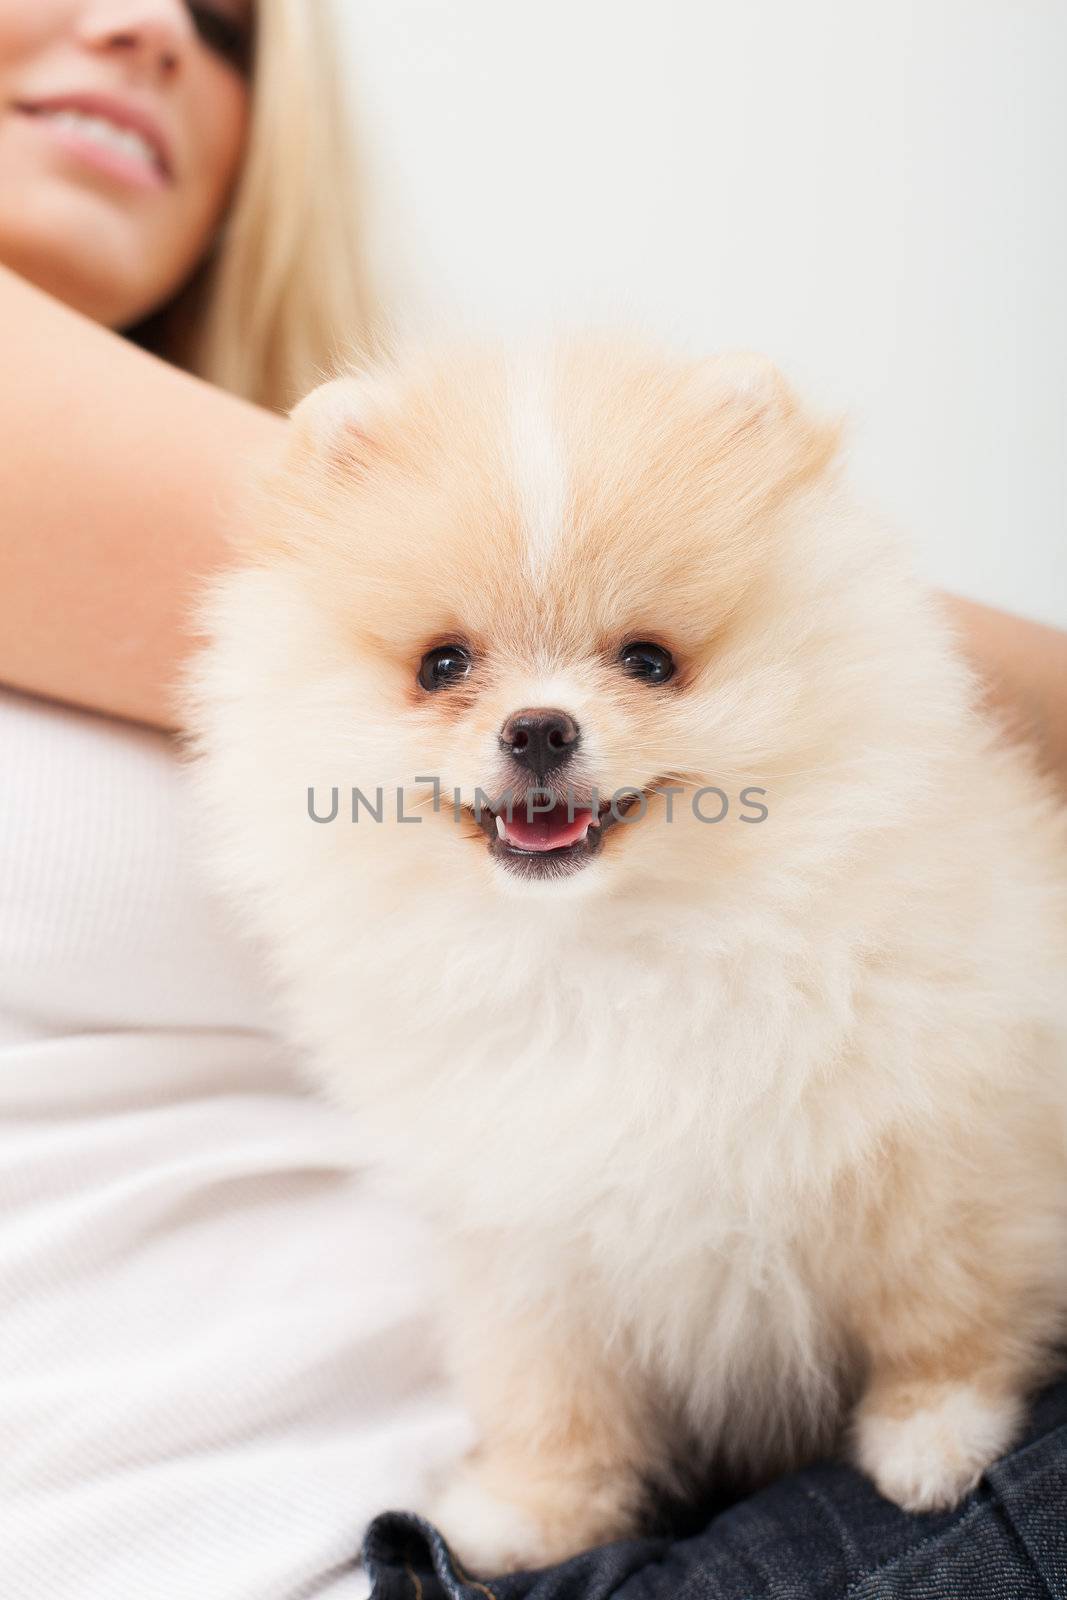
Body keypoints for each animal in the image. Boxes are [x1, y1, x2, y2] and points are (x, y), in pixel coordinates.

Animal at [183, 337, 1067, 1574]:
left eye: (647, 661)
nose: (538, 726)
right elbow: (546, 1389)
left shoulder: (938, 1141)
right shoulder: (524, 1226)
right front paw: (526, 1513)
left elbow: (940, 1301)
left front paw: (933, 1433)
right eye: (442, 664)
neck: (611, 955)